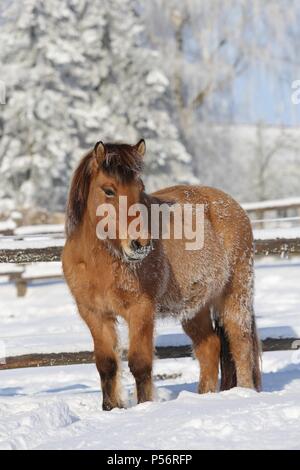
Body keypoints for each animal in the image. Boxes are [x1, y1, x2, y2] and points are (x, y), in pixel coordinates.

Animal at [62, 140, 262, 412]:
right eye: (109, 190)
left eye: (140, 188)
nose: (140, 244)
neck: (101, 261)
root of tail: (231, 205)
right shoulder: (94, 314)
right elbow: (106, 365)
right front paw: (111, 409)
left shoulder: (141, 310)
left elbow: (140, 364)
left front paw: (145, 407)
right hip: (194, 307)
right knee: (210, 347)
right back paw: (203, 396)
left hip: (235, 294)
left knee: (240, 345)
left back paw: (244, 393)